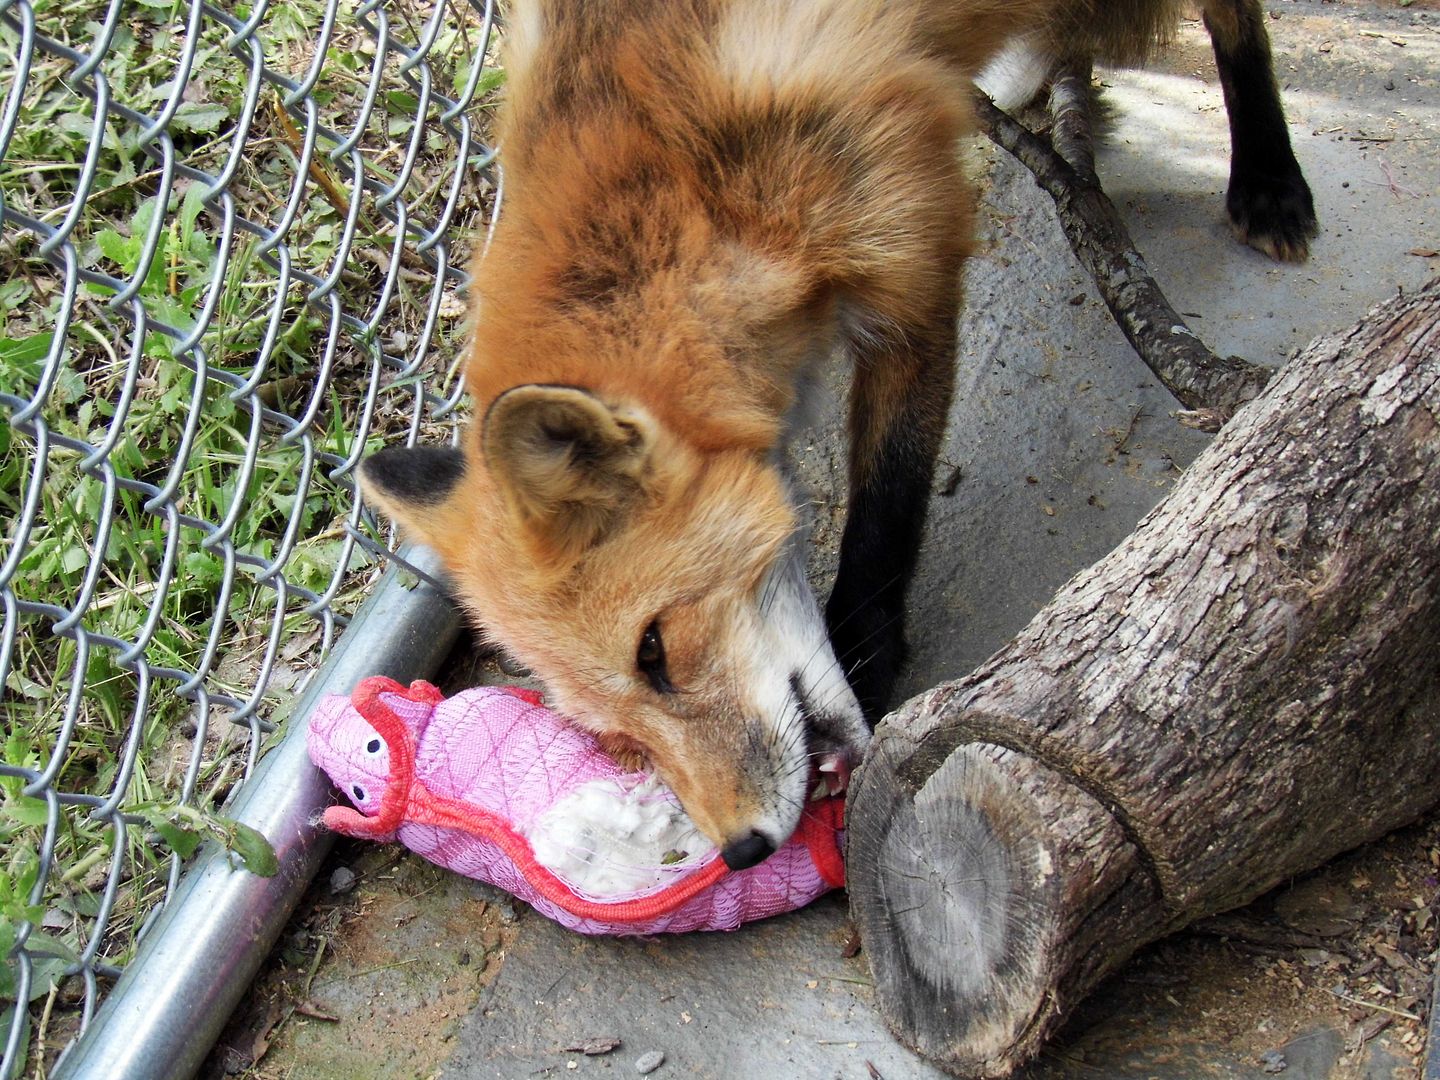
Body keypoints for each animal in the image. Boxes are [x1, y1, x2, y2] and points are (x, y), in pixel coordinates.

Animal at [360, 0, 1319, 869]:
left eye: (654, 650)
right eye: (615, 731)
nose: (742, 852)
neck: (680, 177)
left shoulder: (910, 254)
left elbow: (887, 506)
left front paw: (868, 656)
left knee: (1233, 12)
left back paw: (1268, 174)